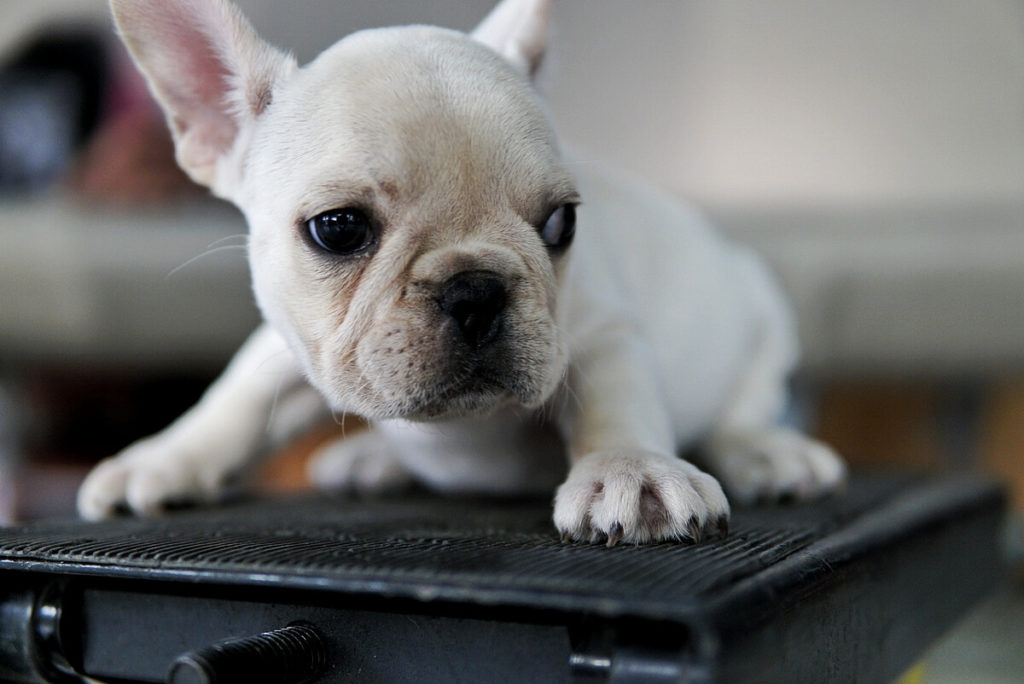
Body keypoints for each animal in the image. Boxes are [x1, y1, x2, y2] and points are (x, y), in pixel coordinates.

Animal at [77, 0, 847, 544]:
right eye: (338, 228)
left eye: (561, 224)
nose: (475, 289)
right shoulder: (294, 338)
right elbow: (237, 393)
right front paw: (166, 458)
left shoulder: (600, 329)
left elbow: (617, 395)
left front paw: (631, 469)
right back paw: (375, 460)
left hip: (765, 321)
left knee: (744, 408)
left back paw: (765, 453)